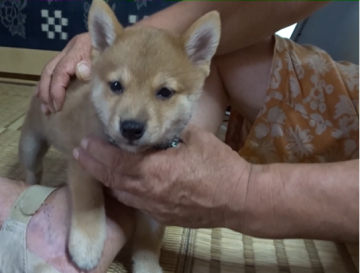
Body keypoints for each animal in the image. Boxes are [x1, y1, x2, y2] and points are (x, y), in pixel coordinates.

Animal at [18, 1, 221, 270]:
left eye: (165, 92)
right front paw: (86, 245)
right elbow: (90, 205)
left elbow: (150, 237)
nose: (131, 127)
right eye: (116, 86)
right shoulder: (82, 163)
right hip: (31, 145)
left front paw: (147, 266)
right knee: (32, 170)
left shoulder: (152, 197)